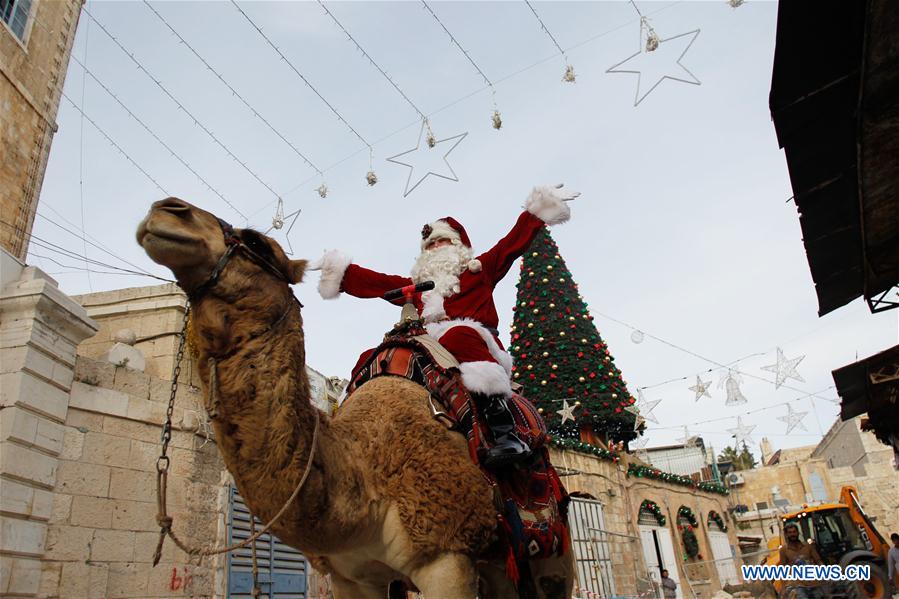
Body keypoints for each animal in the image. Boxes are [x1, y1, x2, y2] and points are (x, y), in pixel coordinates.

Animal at [139, 199, 576, 596]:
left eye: (257, 243)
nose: (167, 210)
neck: (362, 466)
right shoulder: (350, 575)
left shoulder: (446, 557)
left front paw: (544, 205)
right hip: (500, 565)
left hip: (552, 556)